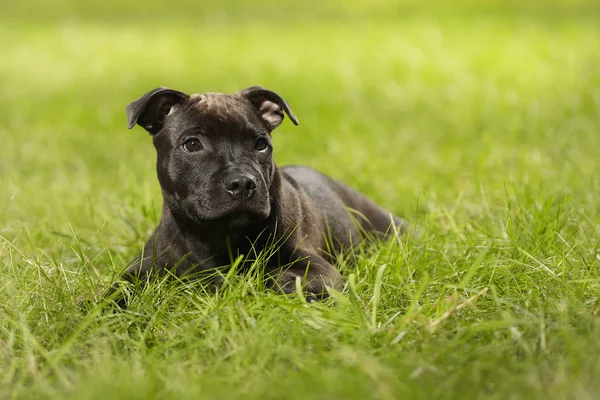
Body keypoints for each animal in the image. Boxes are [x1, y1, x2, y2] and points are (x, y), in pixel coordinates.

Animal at [122, 86, 408, 300]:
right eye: (192, 144)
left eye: (261, 145)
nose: (242, 182)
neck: (216, 236)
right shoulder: (142, 267)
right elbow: (117, 290)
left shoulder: (319, 270)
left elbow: (271, 274)